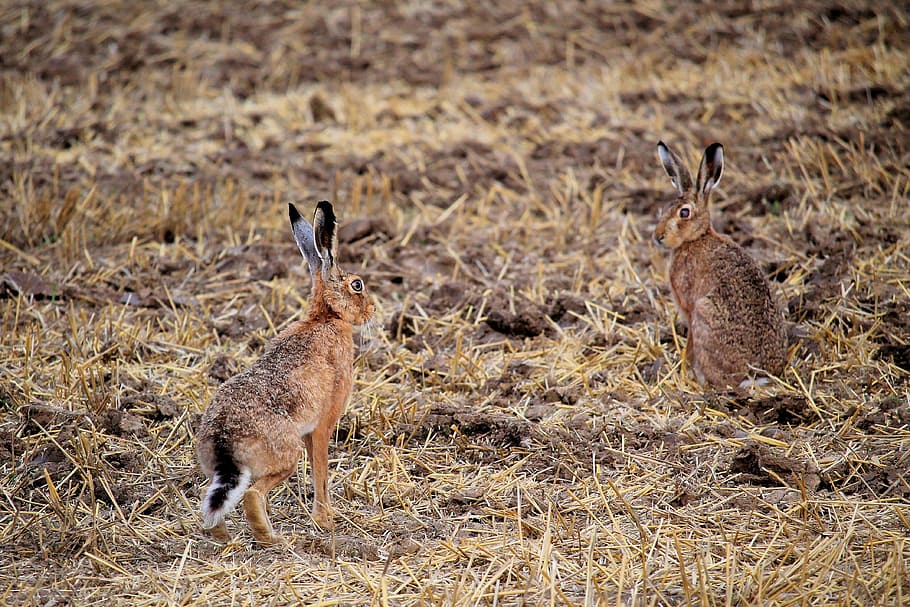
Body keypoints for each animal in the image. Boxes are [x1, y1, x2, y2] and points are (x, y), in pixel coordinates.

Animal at [196, 200, 374, 544]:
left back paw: (225, 538)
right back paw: (274, 540)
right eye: (357, 285)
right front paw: (326, 521)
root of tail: (225, 440)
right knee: (253, 495)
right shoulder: (323, 424)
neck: (327, 317)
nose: (372, 310)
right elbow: (321, 472)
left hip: (218, 470)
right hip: (285, 456)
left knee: (211, 501)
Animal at [652, 141, 787, 388]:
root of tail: (756, 375)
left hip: (704, 312)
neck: (696, 237)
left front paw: (684, 367)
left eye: (684, 213)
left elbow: (690, 344)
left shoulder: (690, 308)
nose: (658, 237)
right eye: (664, 209)